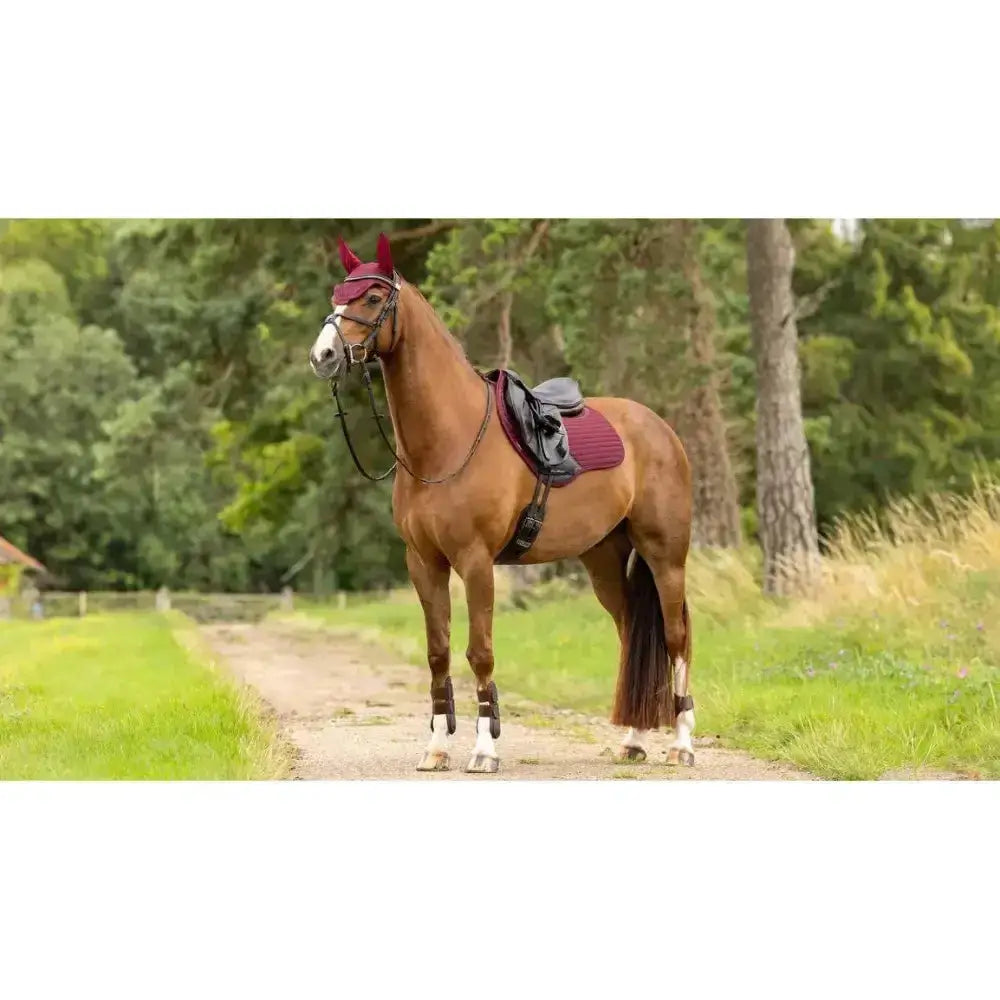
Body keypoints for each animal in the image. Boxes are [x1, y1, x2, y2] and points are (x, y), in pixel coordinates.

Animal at [309, 233, 694, 774]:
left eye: (372, 296)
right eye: (336, 295)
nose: (323, 355)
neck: (448, 441)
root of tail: (659, 429)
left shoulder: (476, 562)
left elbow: (480, 652)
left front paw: (484, 749)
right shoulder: (424, 563)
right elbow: (439, 653)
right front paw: (436, 749)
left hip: (666, 555)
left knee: (677, 637)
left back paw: (682, 744)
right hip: (604, 559)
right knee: (632, 632)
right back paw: (635, 740)